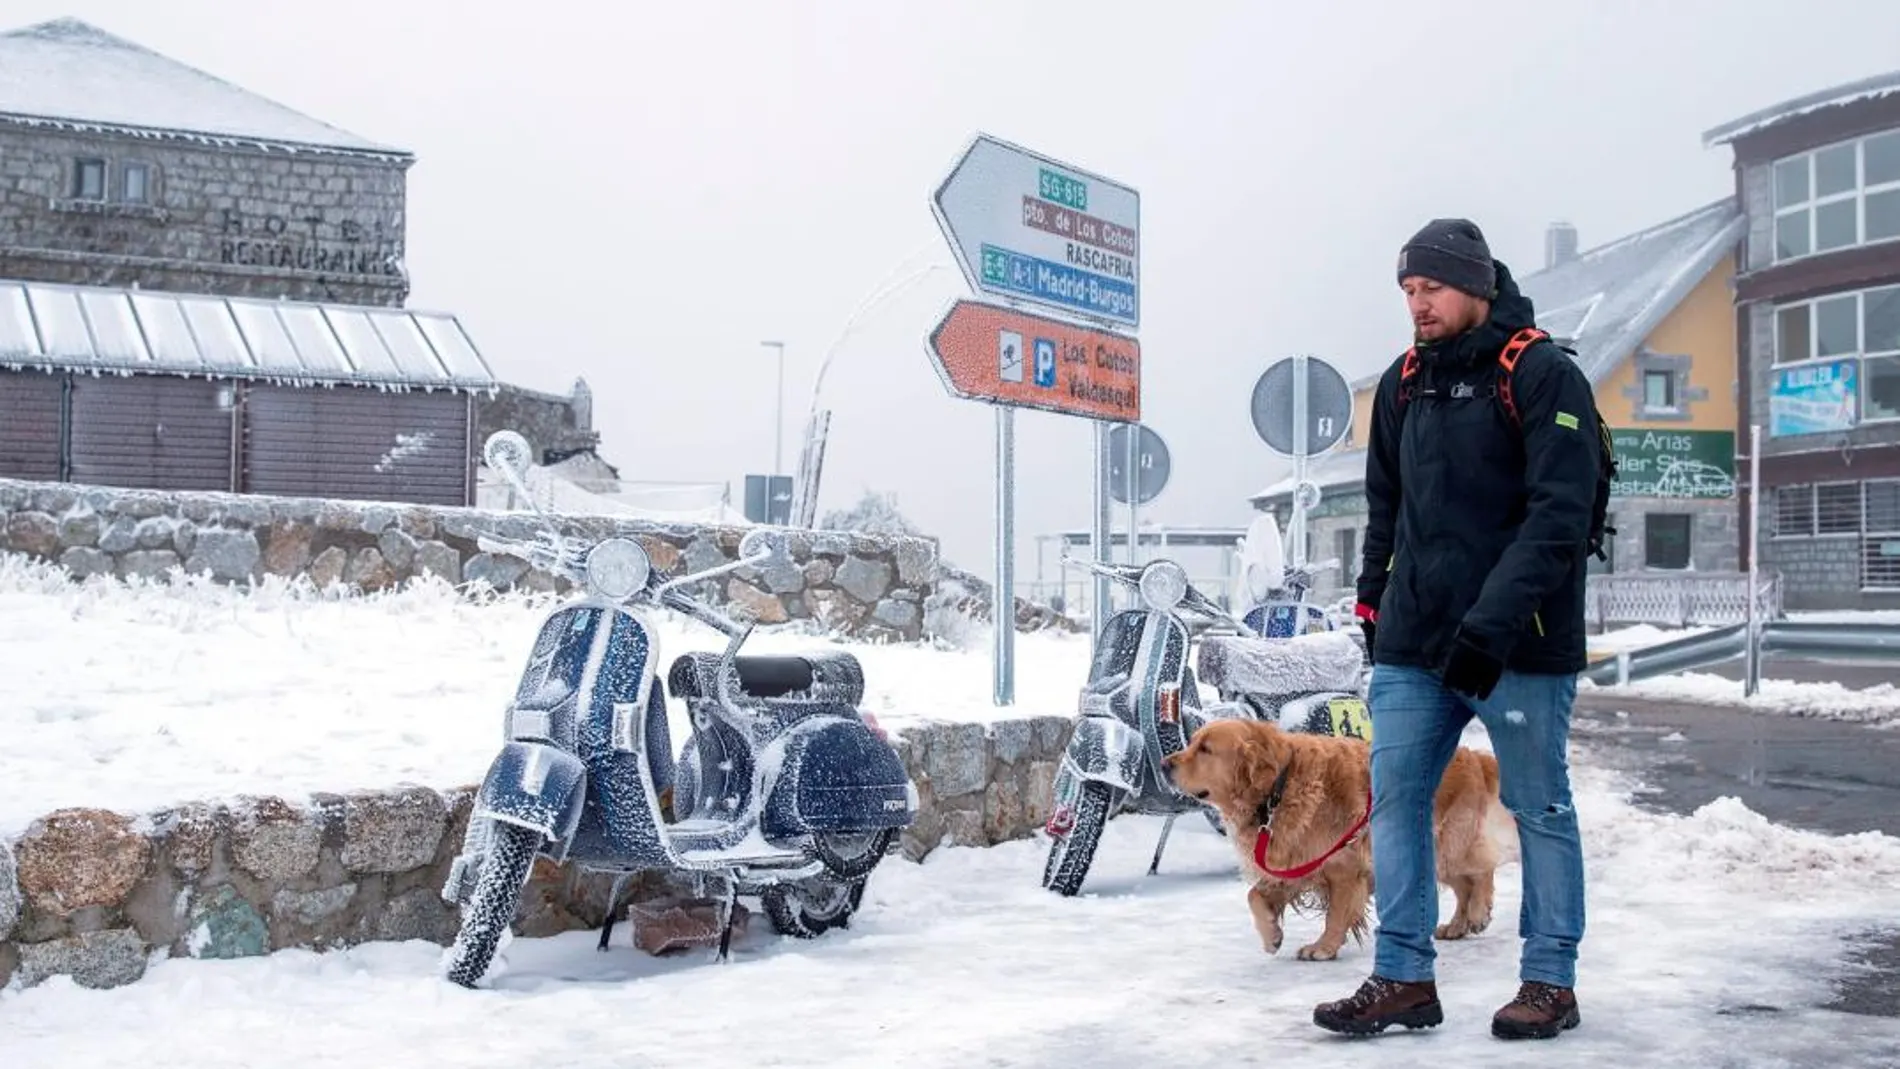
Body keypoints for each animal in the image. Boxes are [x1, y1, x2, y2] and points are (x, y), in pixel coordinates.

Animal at [1155, 717, 1512, 960]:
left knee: (1482, 871)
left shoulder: (1344, 867)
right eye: (1192, 742)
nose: (1163, 764)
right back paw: (1459, 925)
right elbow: (1254, 895)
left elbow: (1337, 914)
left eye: (1205, 749)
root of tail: (1475, 758)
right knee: (1465, 884)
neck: (1278, 789)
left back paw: (1476, 913)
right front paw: (1271, 933)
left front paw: (1323, 947)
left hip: (1449, 843)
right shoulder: (1296, 861)